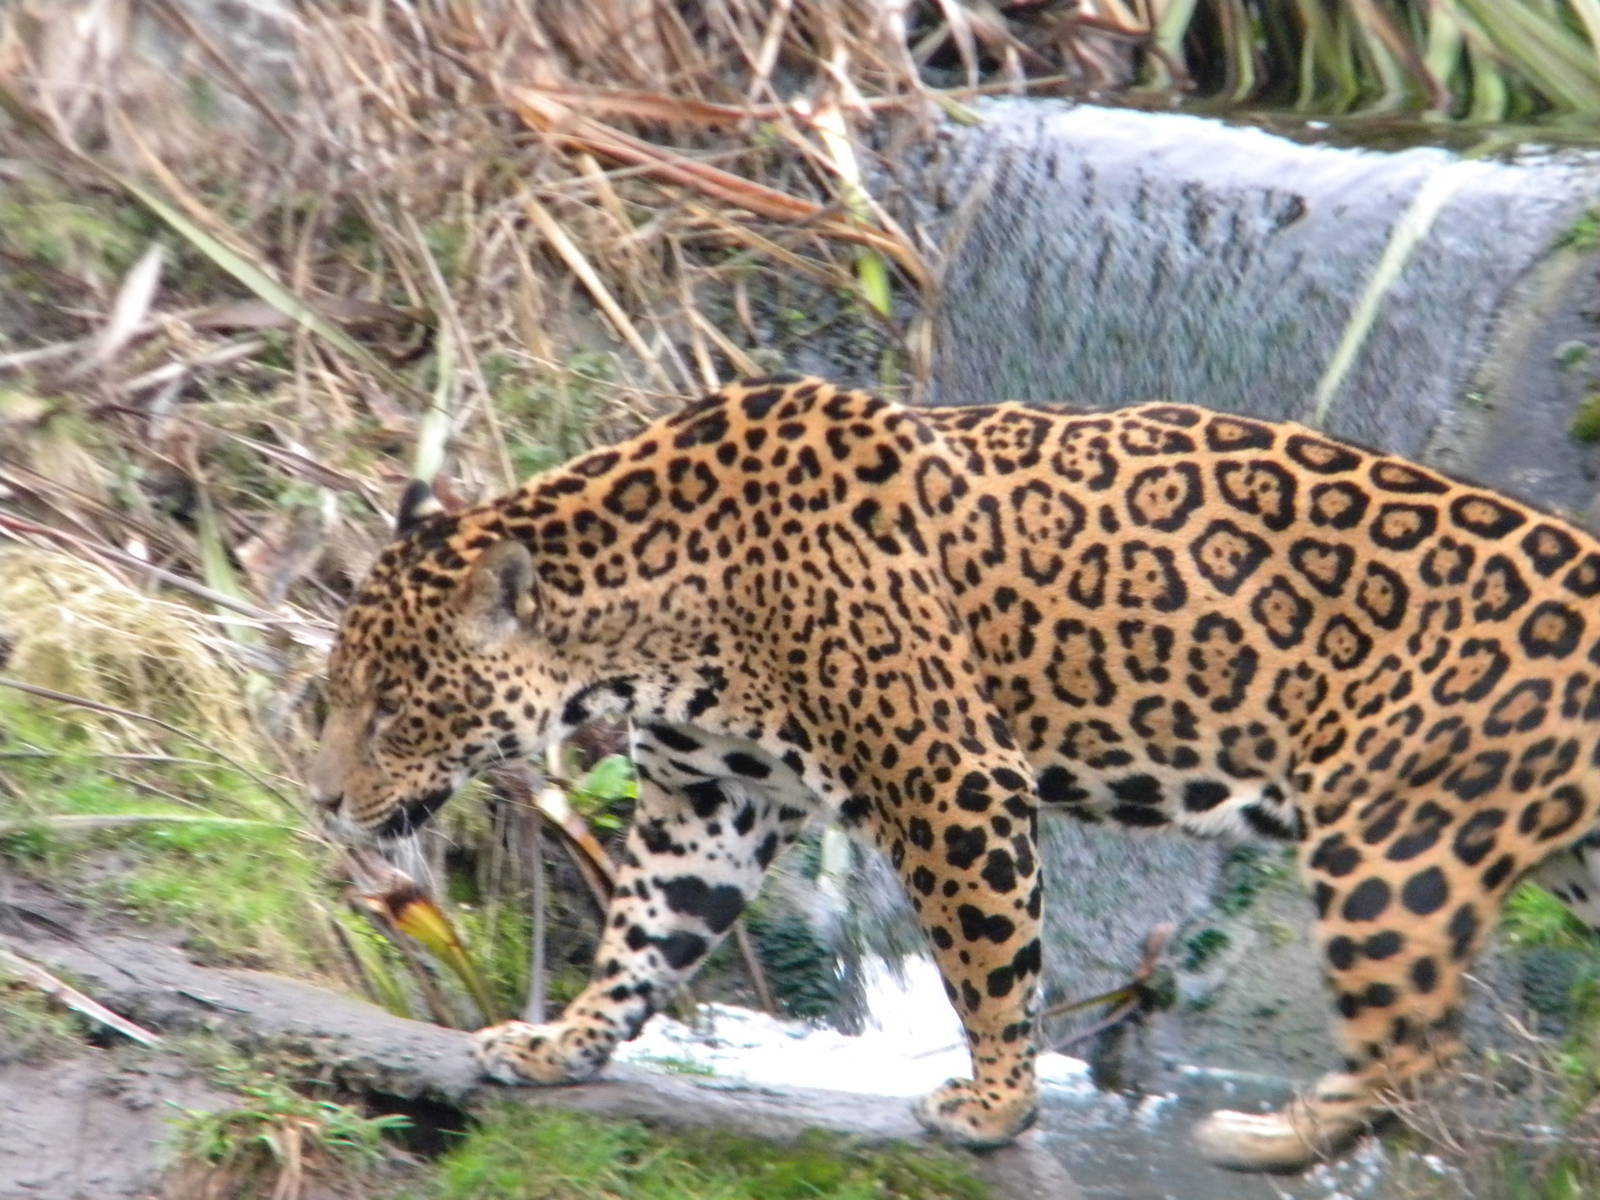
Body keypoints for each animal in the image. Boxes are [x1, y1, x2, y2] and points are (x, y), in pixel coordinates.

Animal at [311, 375, 1600, 1173]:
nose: (323, 802)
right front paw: (559, 1045)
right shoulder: (709, 805)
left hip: (1394, 844)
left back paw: (1260, 1139)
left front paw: (993, 1107)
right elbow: (645, 935)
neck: (640, 626)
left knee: (1415, 1045)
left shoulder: (949, 777)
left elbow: (987, 964)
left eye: (391, 707)